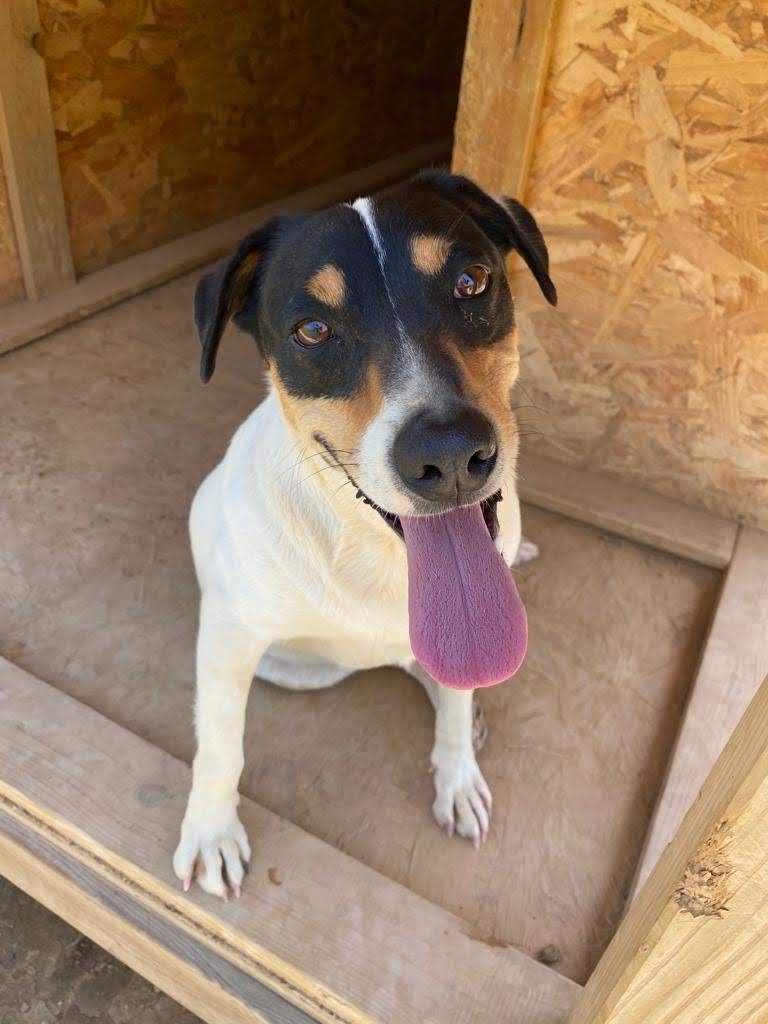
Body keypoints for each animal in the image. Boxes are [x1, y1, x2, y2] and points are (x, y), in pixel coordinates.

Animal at [173, 171, 556, 898]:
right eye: (313, 329)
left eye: (471, 282)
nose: (450, 456)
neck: (381, 559)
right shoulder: (229, 640)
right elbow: (220, 745)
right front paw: (210, 831)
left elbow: (454, 702)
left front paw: (457, 775)